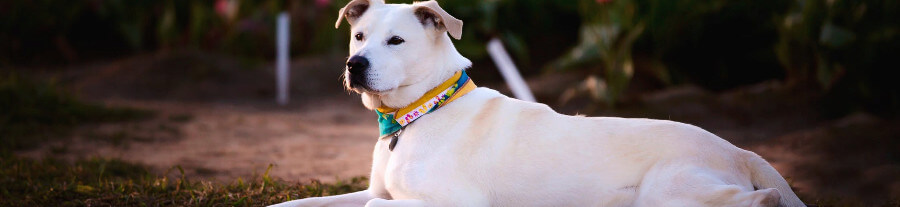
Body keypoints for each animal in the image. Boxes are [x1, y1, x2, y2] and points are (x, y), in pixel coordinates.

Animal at [272, 0, 800, 206]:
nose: (354, 64)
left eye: (396, 41)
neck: (420, 113)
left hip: (666, 192)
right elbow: (307, 201)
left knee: (763, 199)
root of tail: (737, 150)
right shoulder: (374, 192)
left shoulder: (450, 202)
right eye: (359, 36)